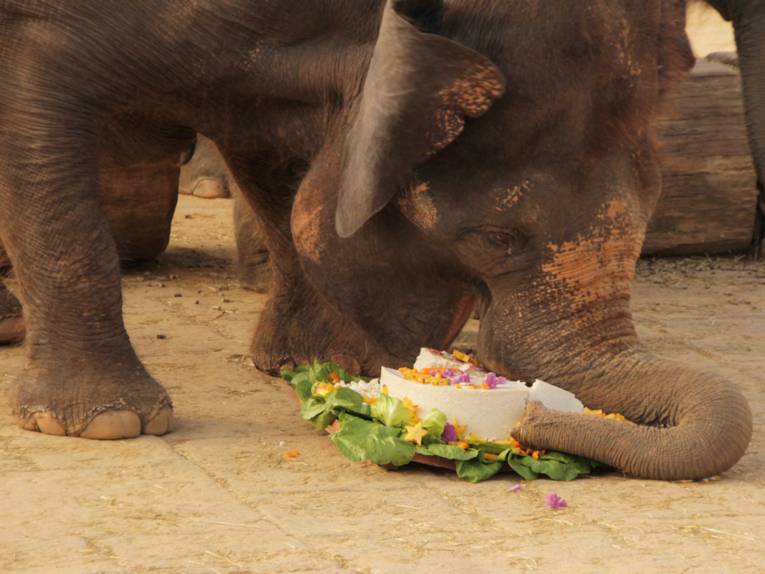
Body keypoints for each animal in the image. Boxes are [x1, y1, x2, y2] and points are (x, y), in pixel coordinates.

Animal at [0, 0, 759, 480]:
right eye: (494, 238)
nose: (531, 421)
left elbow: (278, 157)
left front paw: (319, 362)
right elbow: (35, 113)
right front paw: (107, 425)